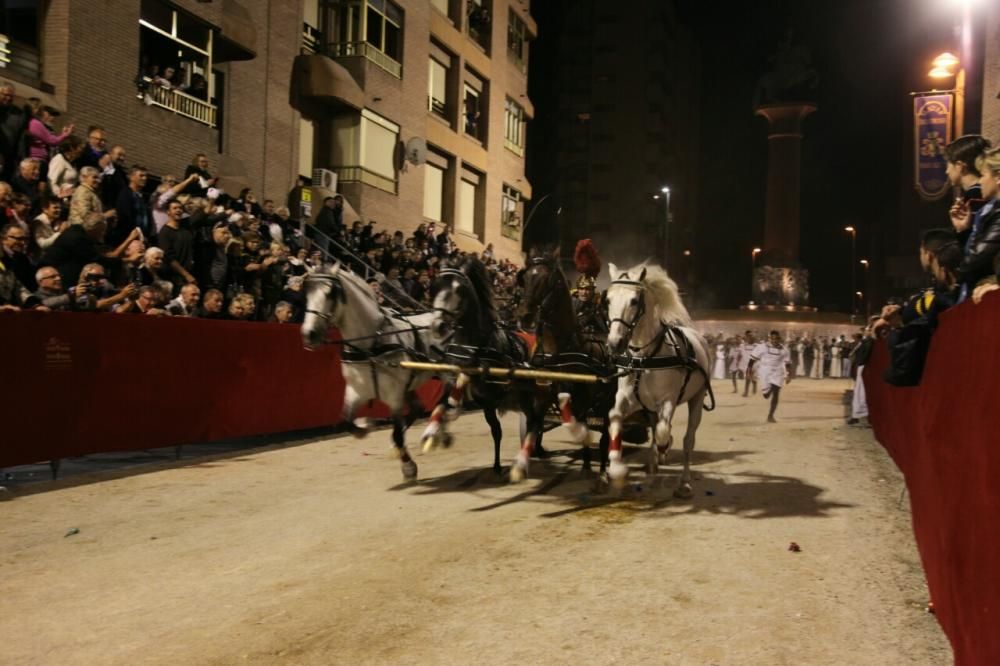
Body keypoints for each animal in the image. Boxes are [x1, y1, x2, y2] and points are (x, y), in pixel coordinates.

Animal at [300, 262, 446, 480]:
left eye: (332, 292)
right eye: (306, 291)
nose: (309, 334)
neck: (371, 344)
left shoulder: (394, 397)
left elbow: (396, 430)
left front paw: (408, 466)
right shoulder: (356, 391)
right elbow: (347, 421)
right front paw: (365, 425)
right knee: (417, 408)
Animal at [604, 262, 716, 496]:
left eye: (634, 300)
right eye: (608, 299)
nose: (614, 343)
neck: (644, 359)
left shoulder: (667, 400)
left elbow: (664, 432)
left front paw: (665, 447)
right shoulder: (626, 399)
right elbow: (614, 418)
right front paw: (616, 468)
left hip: (697, 398)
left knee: (687, 439)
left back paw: (683, 481)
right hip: (650, 409)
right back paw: (653, 470)